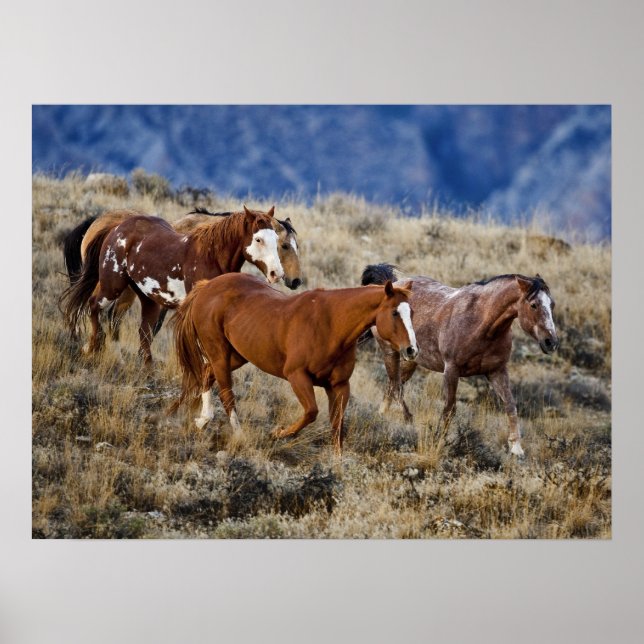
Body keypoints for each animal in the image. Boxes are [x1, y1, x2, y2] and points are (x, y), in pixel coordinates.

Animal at [61, 206, 284, 364]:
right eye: (258, 239)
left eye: (276, 239)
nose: (277, 273)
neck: (210, 257)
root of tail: (116, 228)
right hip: (112, 285)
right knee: (94, 306)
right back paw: (91, 347)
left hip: (148, 299)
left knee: (143, 332)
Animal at [172, 273, 418, 454]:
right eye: (395, 313)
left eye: (412, 312)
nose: (412, 350)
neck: (331, 325)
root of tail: (207, 286)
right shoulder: (297, 376)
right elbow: (311, 412)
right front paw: (277, 434)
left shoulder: (339, 386)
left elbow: (337, 426)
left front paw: (337, 462)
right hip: (220, 353)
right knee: (226, 394)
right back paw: (239, 434)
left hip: (237, 355)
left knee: (206, 374)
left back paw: (202, 420)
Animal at [361, 263, 559, 457]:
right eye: (533, 305)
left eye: (552, 304)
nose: (551, 342)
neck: (482, 323)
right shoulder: (451, 370)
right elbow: (449, 408)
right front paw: (439, 441)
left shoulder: (497, 371)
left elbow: (510, 405)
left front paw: (516, 449)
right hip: (390, 353)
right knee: (396, 387)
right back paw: (408, 419)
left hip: (410, 361)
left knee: (392, 385)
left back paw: (383, 416)